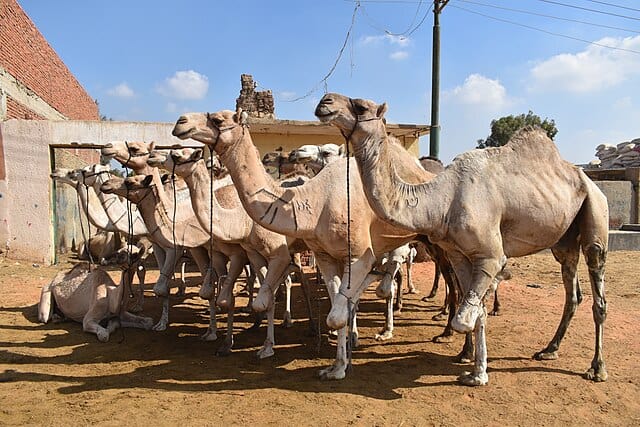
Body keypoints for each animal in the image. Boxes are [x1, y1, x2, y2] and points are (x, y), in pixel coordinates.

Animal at [148, 147, 316, 358]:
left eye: (177, 155)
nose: (152, 156)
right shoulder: (235, 253)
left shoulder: (244, 254)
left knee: (302, 281)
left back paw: (305, 325)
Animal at [172, 109, 418, 380]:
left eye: (218, 119)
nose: (181, 122)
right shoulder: (278, 253)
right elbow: (278, 297)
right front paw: (335, 363)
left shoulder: (301, 252)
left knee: (394, 281)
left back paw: (388, 328)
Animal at [315, 92, 609, 386]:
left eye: (361, 106)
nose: (324, 102)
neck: (443, 200)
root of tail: (586, 178)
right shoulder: (458, 253)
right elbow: (475, 310)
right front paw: (472, 364)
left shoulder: (490, 255)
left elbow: (466, 315)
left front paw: (479, 372)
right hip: (564, 240)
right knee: (572, 291)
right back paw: (550, 349)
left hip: (595, 212)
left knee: (598, 288)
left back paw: (597, 368)